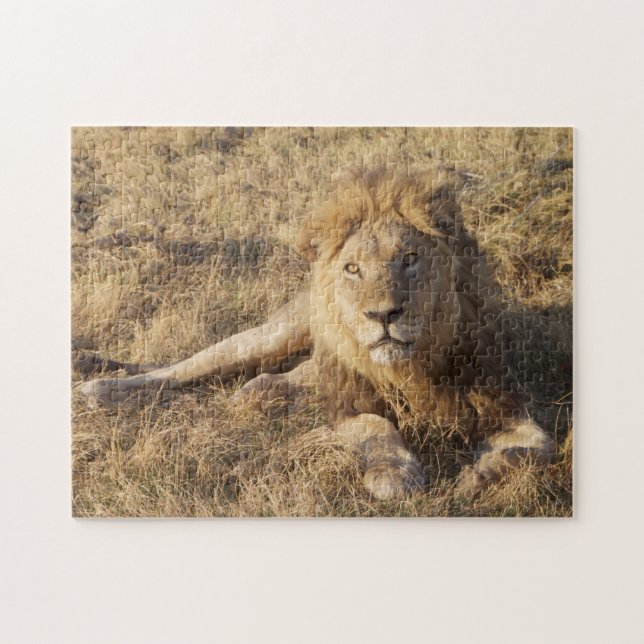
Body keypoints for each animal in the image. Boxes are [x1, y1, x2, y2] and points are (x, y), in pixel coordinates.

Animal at [79, 167, 554, 499]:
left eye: (410, 258)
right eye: (353, 268)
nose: (383, 314)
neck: (410, 368)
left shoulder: (500, 399)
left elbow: (537, 449)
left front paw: (480, 476)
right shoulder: (348, 404)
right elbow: (376, 430)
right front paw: (394, 474)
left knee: (281, 378)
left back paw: (261, 396)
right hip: (272, 336)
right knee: (183, 368)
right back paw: (103, 386)